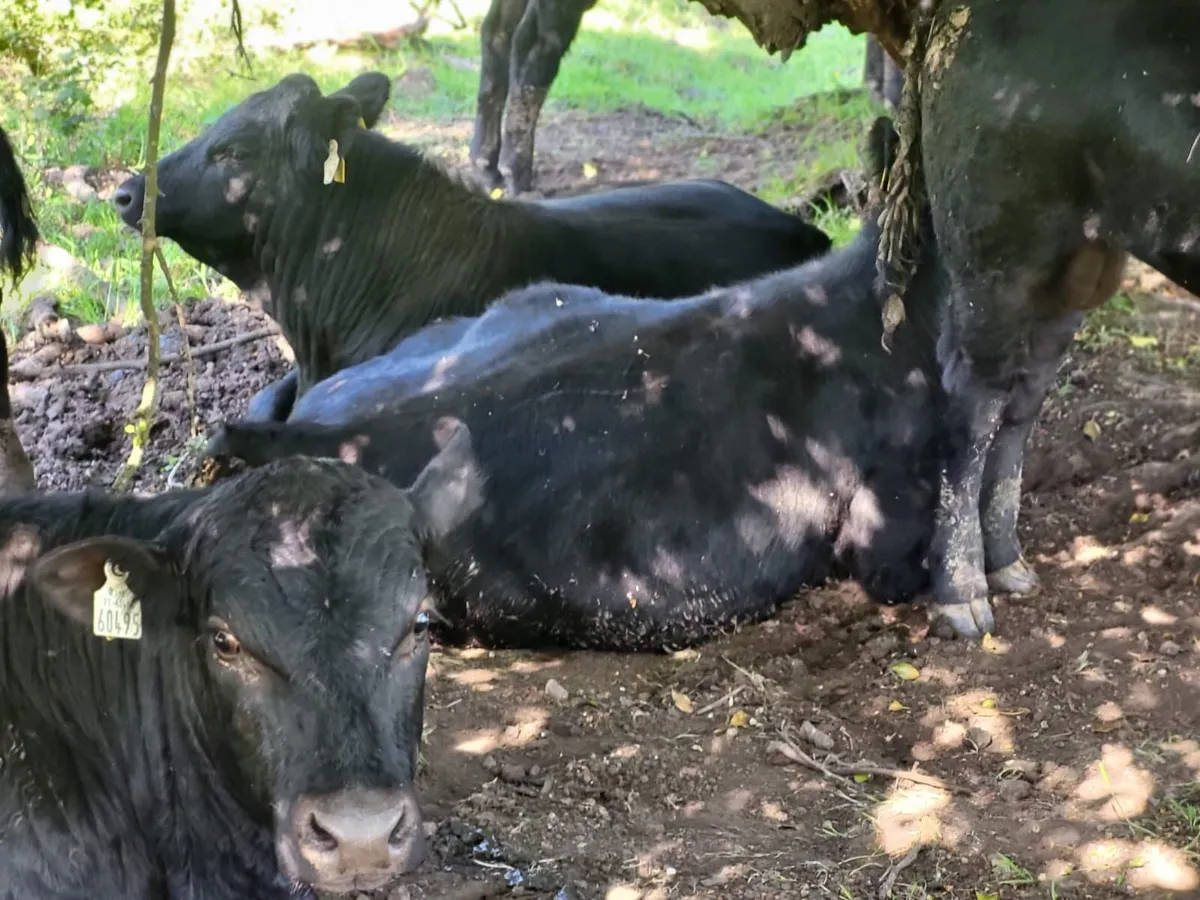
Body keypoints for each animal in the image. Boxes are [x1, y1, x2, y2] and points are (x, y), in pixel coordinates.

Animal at [878, 0, 1200, 639]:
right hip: (995, 252)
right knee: (973, 406)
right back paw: (963, 593)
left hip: (1068, 272)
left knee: (1020, 405)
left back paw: (1007, 563)